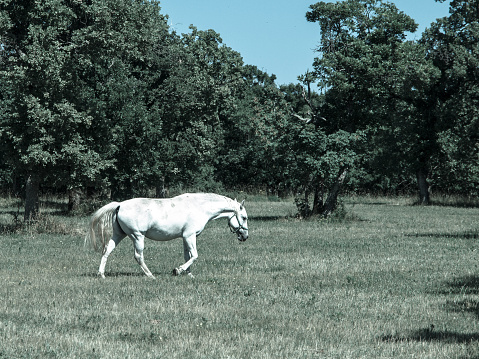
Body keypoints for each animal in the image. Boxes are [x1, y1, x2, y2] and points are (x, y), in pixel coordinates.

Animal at [85, 194, 249, 278]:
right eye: (244, 217)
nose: (245, 236)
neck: (199, 207)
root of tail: (119, 205)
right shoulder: (190, 236)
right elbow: (195, 255)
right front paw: (178, 270)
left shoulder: (185, 238)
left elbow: (188, 256)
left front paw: (189, 275)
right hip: (137, 236)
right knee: (138, 256)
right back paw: (150, 275)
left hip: (119, 235)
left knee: (107, 251)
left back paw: (101, 274)